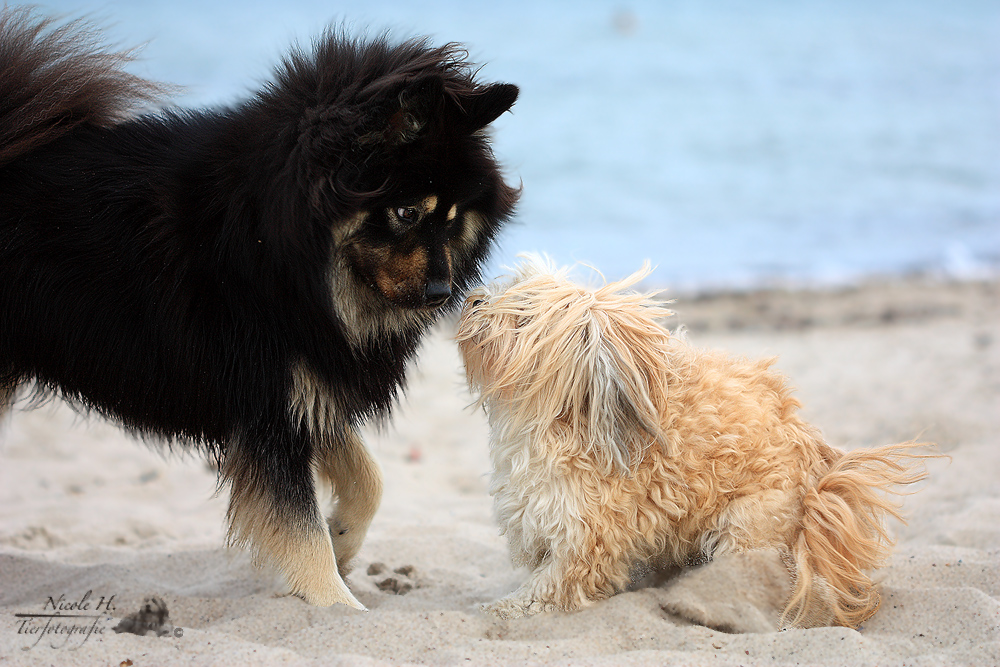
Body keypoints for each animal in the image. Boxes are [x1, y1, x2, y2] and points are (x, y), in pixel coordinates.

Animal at [0, 6, 516, 612]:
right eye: (407, 212)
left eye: (454, 217)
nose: (442, 292)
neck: (272, 247)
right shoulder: (269, 404)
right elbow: (302, 533)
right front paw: (340, 605)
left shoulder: (306, 385)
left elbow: (369, 482)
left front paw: (343, 539)